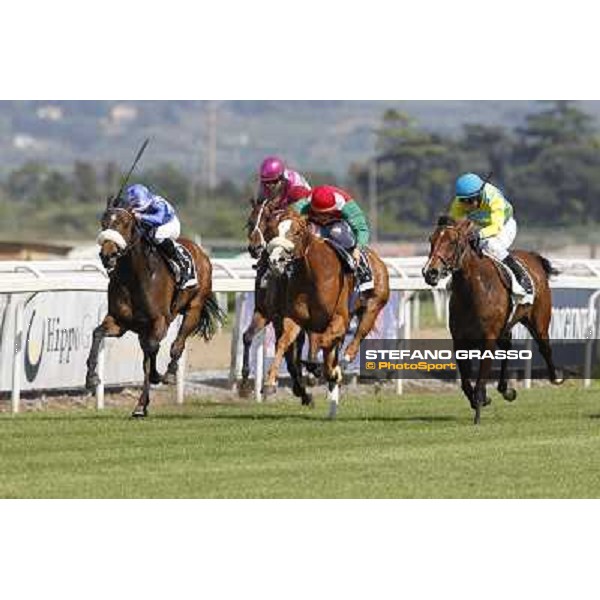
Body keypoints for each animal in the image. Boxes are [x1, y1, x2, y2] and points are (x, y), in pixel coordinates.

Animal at [85, 206, 224, 418]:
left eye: (125, 223)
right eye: (103, 222)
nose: (107, 254)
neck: (133, 277)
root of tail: (200, 251)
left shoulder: (160, 321)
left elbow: (152, 351)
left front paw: (158, 375)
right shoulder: (119, 322)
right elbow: (97, 333)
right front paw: (92, 377)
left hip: (193, 308)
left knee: (177, 344)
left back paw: (169, 373)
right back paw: (141, 405)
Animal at [262, 211, 392, 418]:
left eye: (297, 232)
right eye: (273, 230)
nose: (276, 261)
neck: (313, 274)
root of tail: (377, 259)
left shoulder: (339, 320)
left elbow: (325, 346)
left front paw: (331, 372)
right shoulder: (294, 318)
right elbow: (283, 343)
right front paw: (269, 383)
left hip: (372, 307)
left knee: (356, 338)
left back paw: (341, 364)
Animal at [422, 218, 564, 424]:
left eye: (453, 242)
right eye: (431, 240)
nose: (430, 272)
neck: (473, 291)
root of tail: (533, 257)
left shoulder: (488, 338)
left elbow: (481, 379)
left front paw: (478, 412)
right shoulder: (460, 341)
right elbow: (465, 382)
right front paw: (481, 400)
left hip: (539, 320)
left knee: (544, 347)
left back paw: (556, 377)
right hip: (506, 327)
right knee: (507, 347)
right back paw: (506, 390)